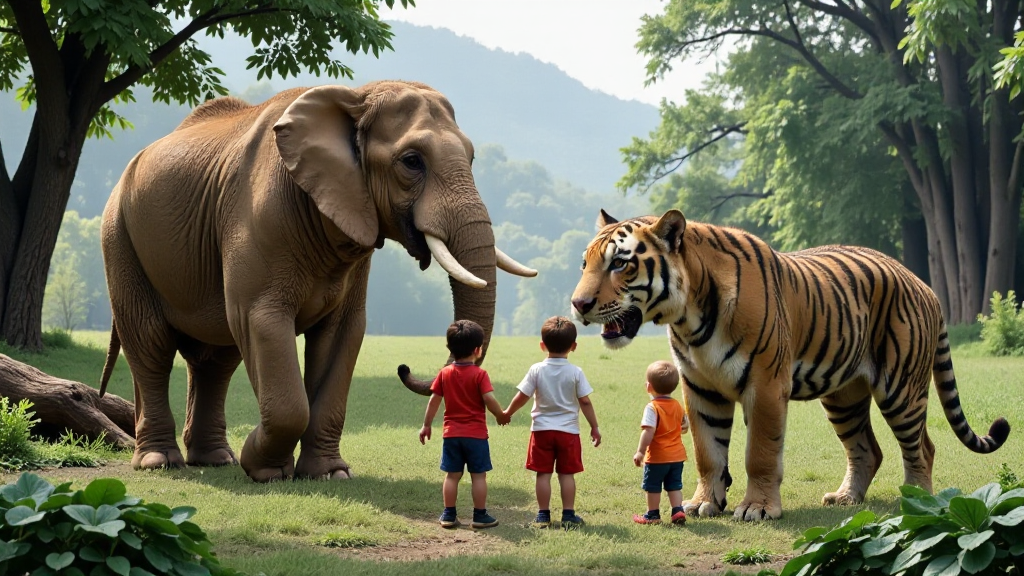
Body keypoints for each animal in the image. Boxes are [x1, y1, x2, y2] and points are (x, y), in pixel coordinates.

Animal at [97, 79, 536, 479]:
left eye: (472, 158)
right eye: (412, 161)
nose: (404, 367)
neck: (355, 96)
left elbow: (342, 333)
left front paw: (327, 474)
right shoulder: (256, 218)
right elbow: (261, 321)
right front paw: (266, 470)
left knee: (216, 358)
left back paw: (216, 460)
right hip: (119, 236)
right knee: (151, 342)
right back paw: (160, 462)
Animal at [573, 207, 1011, 520]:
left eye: (620, 263)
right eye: (585, 264)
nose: (578, 304)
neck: (688, 315)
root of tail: (923, 284)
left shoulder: (766, 385)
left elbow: (760, 453)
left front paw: (757, 508)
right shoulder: (701, 388)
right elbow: (707, 451)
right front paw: (703, 504)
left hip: (901, 389)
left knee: (922, 447)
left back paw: (917, 500)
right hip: (844, 397)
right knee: (867, 449)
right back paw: (846, 498)